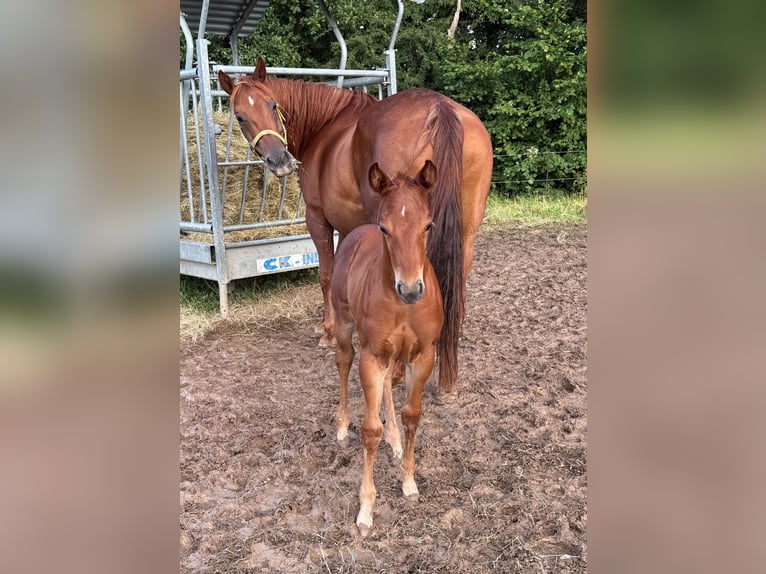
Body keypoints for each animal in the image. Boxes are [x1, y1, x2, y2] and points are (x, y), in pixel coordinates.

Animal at [218, 58, 493, 395]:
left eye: (273, 105)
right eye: (240, 116)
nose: (279, 160)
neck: (324, 128)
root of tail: (439, 107)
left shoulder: (318, 219)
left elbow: (326, 274)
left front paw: (327, 330)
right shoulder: (350, 228)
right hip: (466, 234)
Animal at [331, 160, 443, 537]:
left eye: (428, 225)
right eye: (385, 228)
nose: (409, 289)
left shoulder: (423, 356)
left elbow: (412, 415)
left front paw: (409, 481)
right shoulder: (372, 356)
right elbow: (370, 430)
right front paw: (366, 508)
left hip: (396, 356)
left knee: (388, 391)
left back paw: (393, 441)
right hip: (344, 326)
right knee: (343, 362)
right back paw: (341, 427)